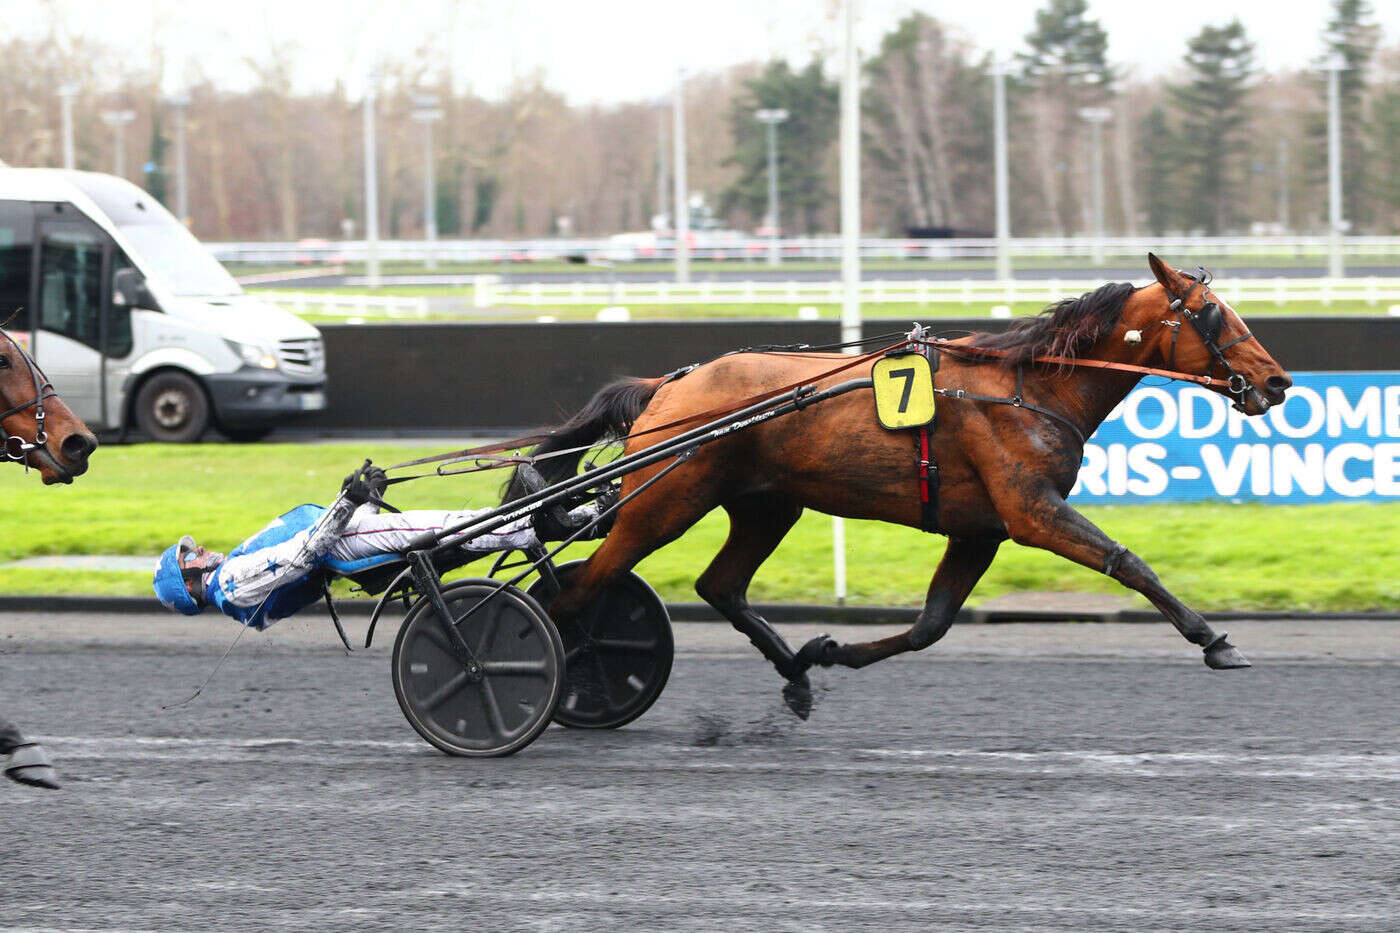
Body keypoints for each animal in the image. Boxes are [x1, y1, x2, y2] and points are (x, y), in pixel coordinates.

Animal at [512, 254, 1288, 711]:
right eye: (1211, 314)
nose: (1279, 381)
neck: (1030, 386)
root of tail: (669, 386)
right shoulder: (1031, 511)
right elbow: (1128, 562)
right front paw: (1216, 640)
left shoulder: (981, 528)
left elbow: (930, 625)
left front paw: (828, 651)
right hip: (665, 501)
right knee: (582, 588)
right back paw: (561, 670)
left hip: (766, 505)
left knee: (718, 585)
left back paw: (793, 671)